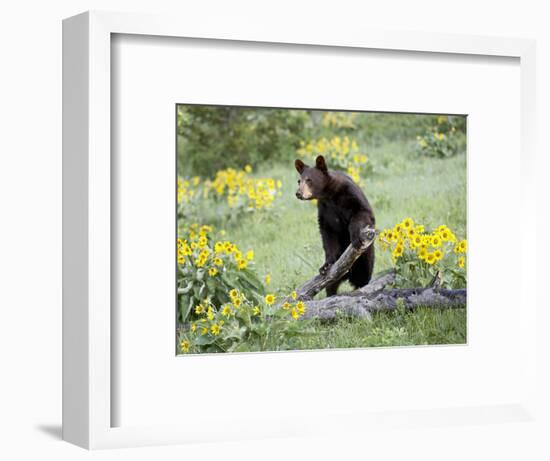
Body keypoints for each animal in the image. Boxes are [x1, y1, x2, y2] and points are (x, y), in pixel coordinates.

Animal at [296, 155, 378, 296]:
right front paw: (326, 265)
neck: (329, 195)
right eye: (298, 181)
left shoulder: (350, 194)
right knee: (331, 285)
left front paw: (355, 238)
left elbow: (362, 212)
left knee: (364, 275)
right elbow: (328, 234)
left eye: (309, 180)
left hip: (366, 257)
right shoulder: (325, 210)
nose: (298, 193)